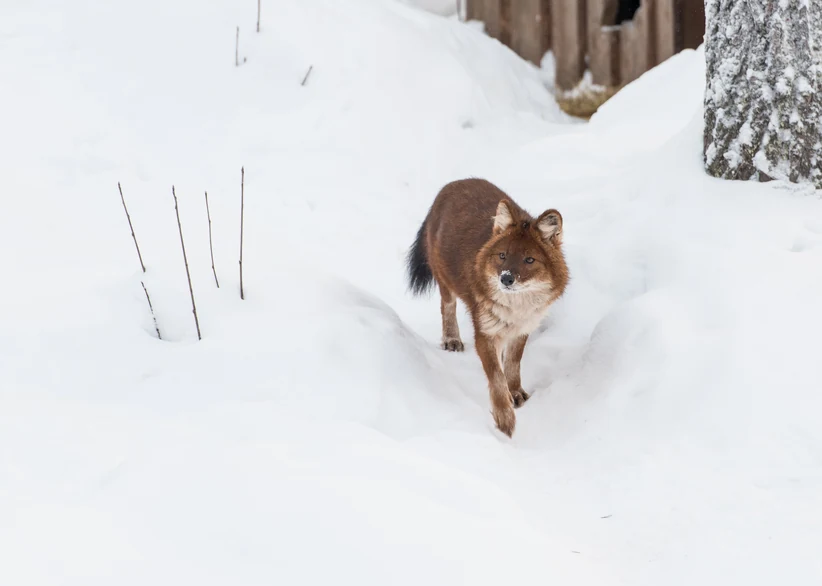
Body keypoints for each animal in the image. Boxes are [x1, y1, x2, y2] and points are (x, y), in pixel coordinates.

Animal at [406, 178, 569, 437]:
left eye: (529, 260)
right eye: (502, 255)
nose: (506, 278)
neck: (516, 308)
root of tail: (453, 184)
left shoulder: (523, 328)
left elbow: (512, 365)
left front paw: (516, 392)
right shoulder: (485, 332)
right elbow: (496, 377)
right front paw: (505, 420)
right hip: (444, 277)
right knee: (447, 306)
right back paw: (451, 339)